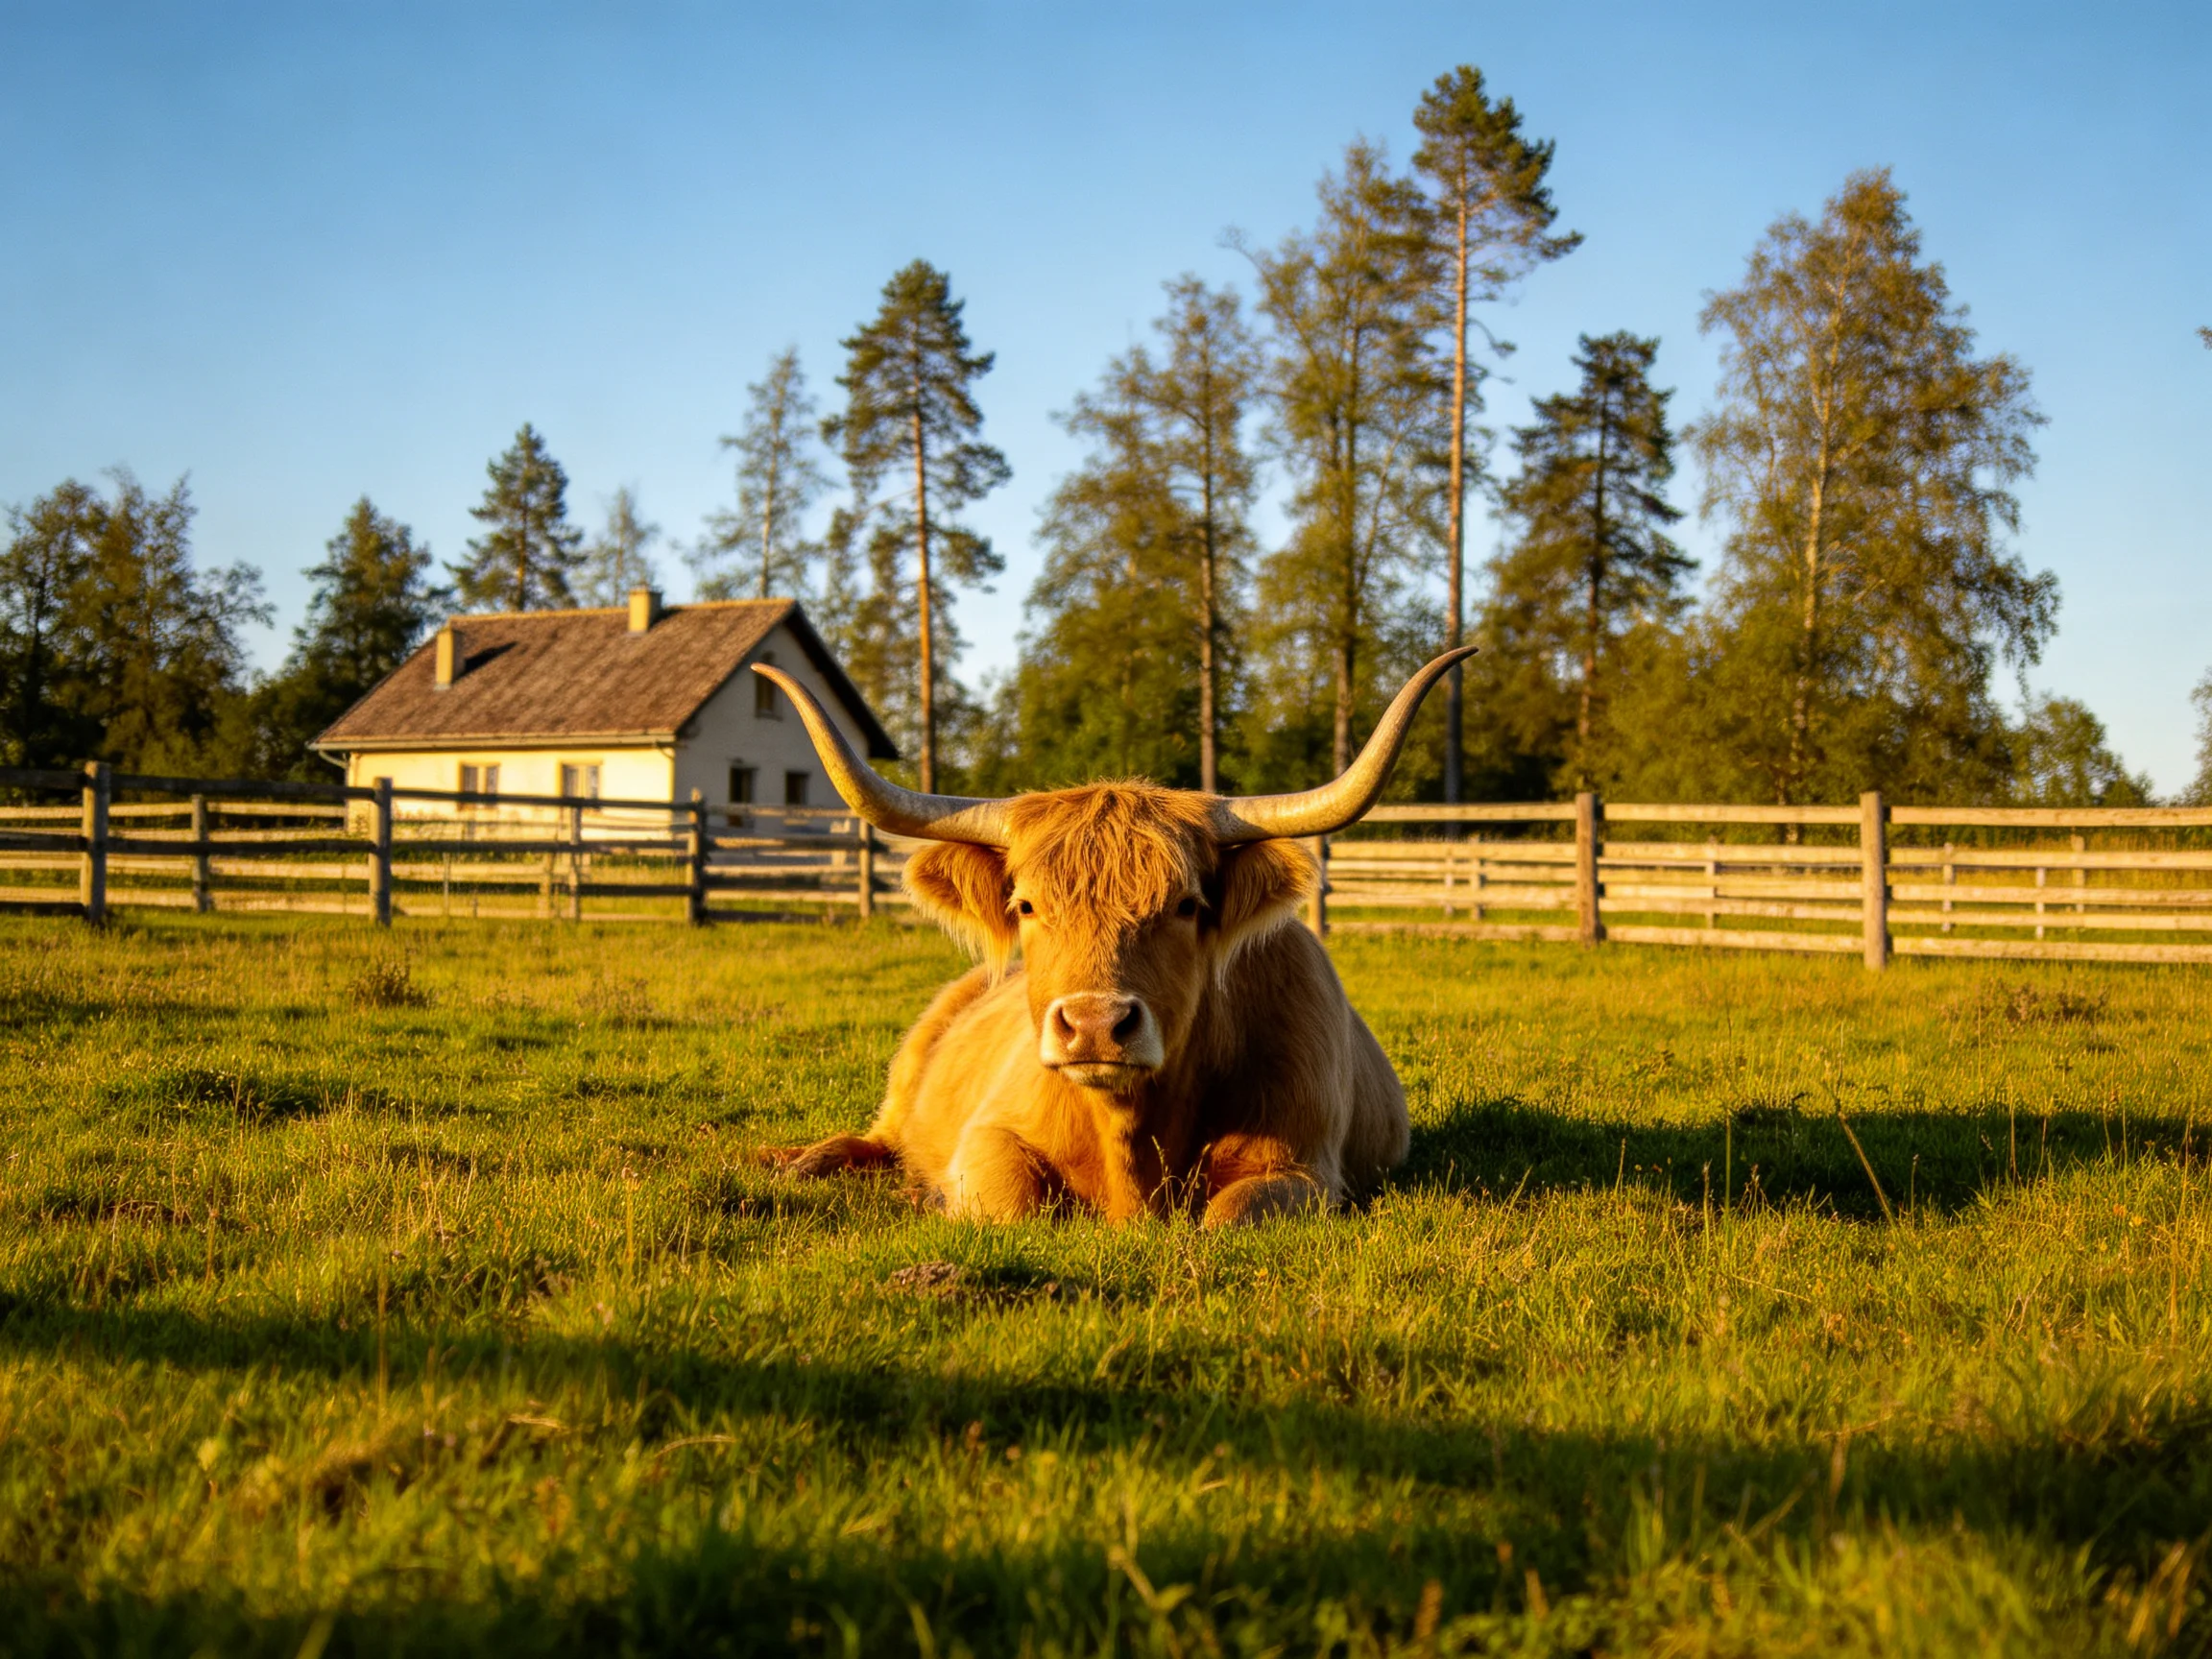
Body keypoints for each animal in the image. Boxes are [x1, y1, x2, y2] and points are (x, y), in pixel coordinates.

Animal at [753, 647, 1476, 1228]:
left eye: (1186, 905)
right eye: (1026, 905)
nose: (1095, 1024)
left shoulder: (1303, 1168)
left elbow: (1231, 1215)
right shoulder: (989, 1135)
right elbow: (1009, 1204)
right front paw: (930, 1195)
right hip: (907, 1073)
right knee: (876, 1137)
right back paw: (792, 1161)